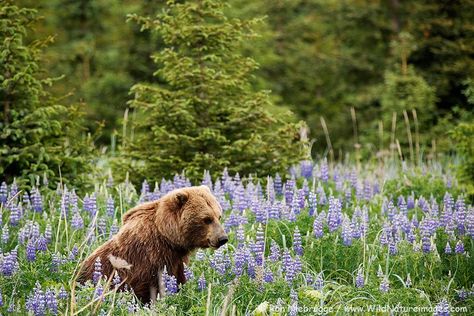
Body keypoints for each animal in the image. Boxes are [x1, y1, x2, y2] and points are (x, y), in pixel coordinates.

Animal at [77, 185, 228, 304]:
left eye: (219, 216)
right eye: (206, 219)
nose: (222, 238)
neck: (169, 238)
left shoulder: (175, 259)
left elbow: (178, 278)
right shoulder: (150, 256)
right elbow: (148, 288)